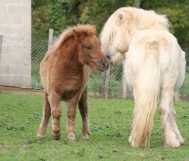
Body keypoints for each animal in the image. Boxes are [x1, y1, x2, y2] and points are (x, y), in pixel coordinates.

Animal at [100, 6, 186, 148]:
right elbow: (171, 113)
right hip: (166, 87)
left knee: (141, 109)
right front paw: (178, 138)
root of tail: (152, 41)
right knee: (163, 110)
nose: (106, 58)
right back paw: (171, 141)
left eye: (113, 33)